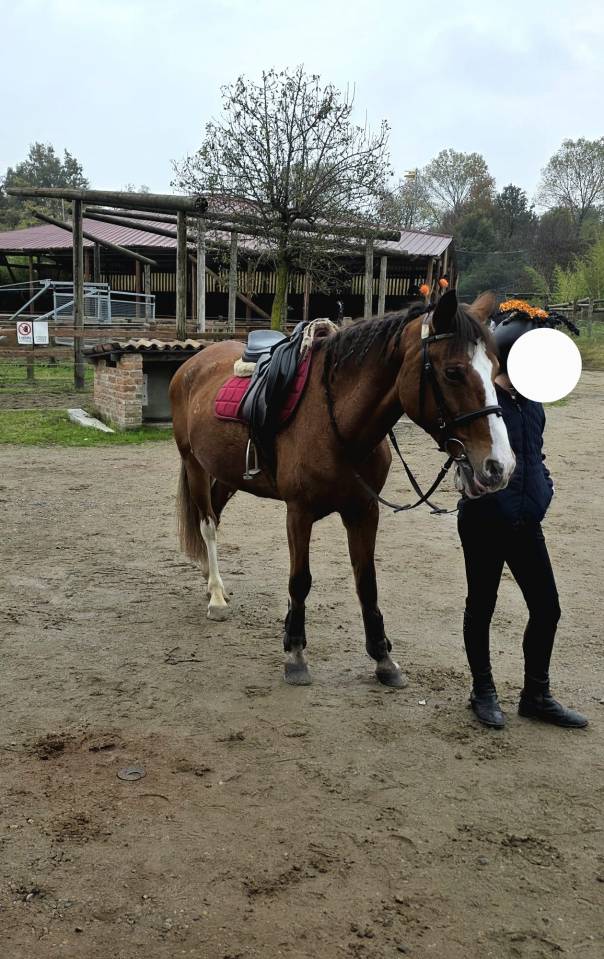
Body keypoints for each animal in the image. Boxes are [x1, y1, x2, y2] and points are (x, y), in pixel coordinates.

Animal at [169, 290, 516, 689]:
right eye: (453, 372)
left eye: (495, 368)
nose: (500, 466)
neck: (337, 422)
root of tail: (191, 365)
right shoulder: (298, 512)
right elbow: (300, 581)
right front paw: (295, 653)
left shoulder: (364, 510)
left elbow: (367, 582)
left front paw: (383, 658)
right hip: (194, 464)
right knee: (207, 524)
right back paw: (216, 598)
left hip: (227, 476)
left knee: (214, 517)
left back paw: (213, 582)